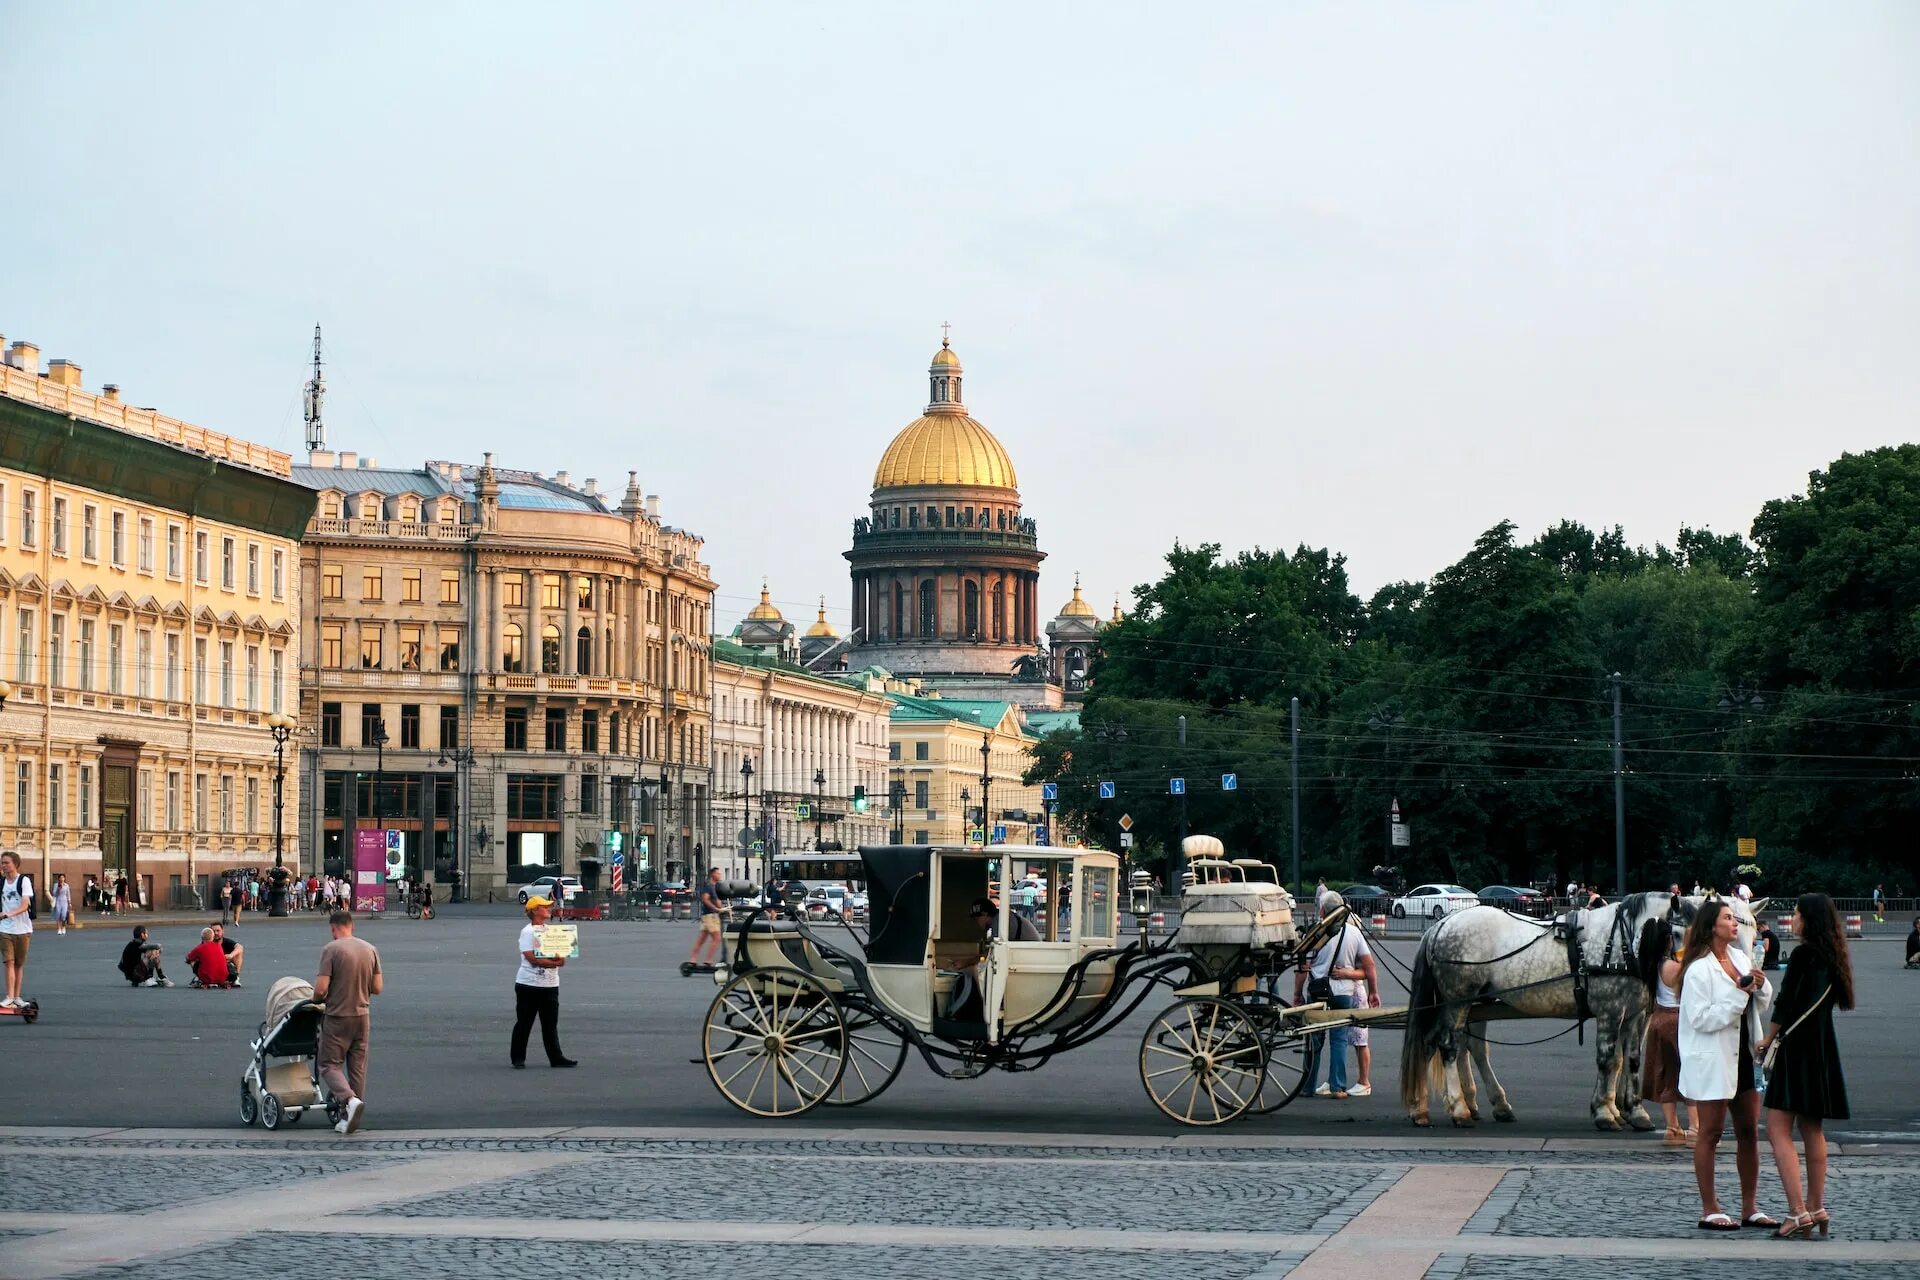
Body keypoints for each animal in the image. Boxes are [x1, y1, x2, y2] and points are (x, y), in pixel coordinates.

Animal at [1397, 890, 1758, 1128]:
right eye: (1678, 932)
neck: (1625, 943)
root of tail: (1442, 924)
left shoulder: (1635, 1014)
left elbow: (1629, 1060)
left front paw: (1633, 1110)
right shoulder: (1611, 1010)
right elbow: (1607, 1060)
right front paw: (1605, 1111)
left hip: (1473, 1003)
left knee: (1452, 1046)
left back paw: (1441, 1107)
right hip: (1458, 999)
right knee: (1447, 1046)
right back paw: (1457, 1109)